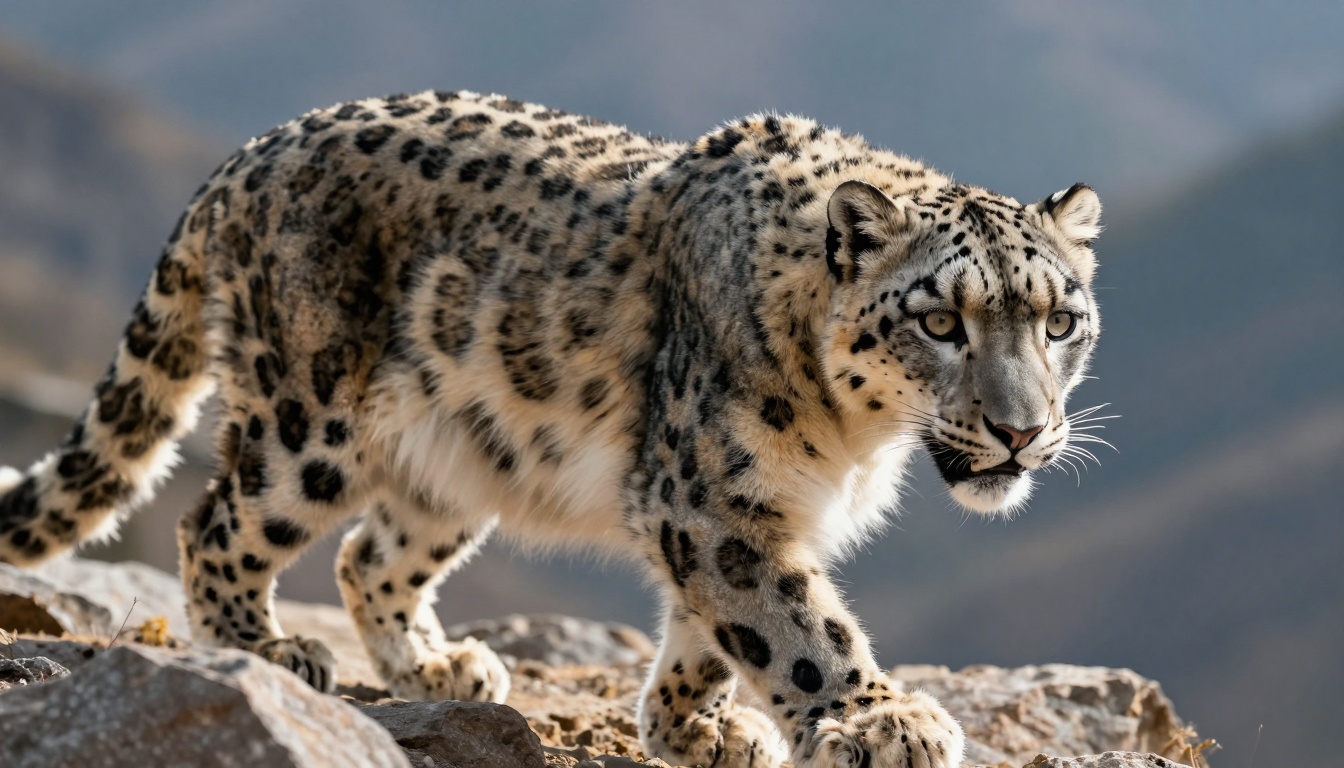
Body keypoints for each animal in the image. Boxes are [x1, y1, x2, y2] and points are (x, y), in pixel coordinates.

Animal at [0, 90, 1104, 767]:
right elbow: (796, 624)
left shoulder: (735, 514)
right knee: (218, 522)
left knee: (369, 555)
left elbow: (715, 628)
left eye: (1059, 321)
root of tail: (244, 157)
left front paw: (694, 727)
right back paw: (266, 650)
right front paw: (880, 720)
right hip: (305, 421)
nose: (1021, 432)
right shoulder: (710, 499)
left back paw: (437, 666)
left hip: (454, 462)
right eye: (940, 321)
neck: (855, 443)